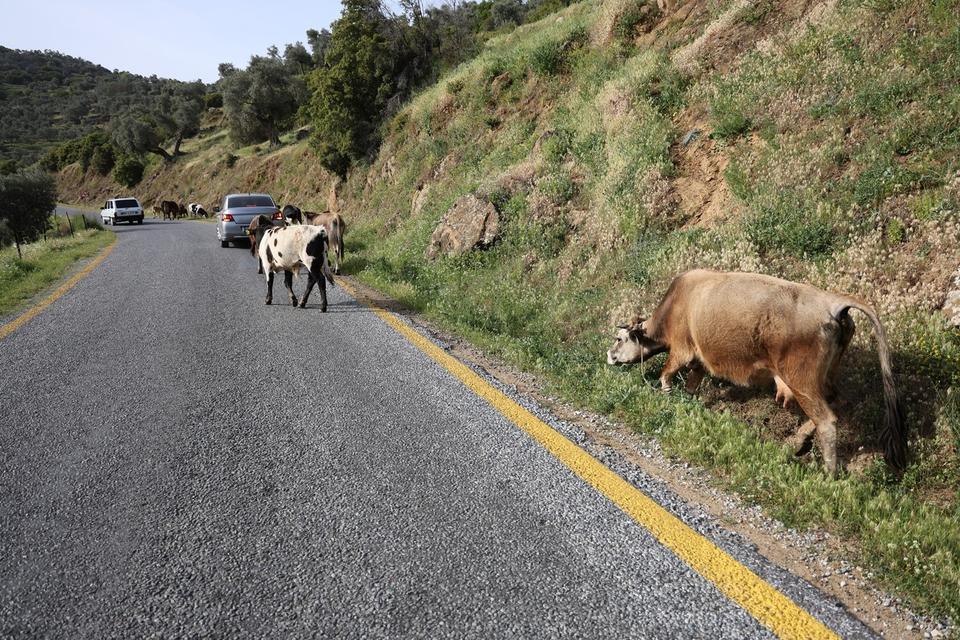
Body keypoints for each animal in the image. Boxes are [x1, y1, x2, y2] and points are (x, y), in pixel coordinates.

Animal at [608, 268, 908, 476]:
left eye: (620, 339)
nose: (609, 356)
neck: (677, 303)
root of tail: (831, 303)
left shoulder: (682, 349)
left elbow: (667, 373)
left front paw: (666, 394)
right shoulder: (700, 360)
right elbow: (692, 384)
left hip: (801, 379)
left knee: (827, 420)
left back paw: (829, 472)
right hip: (827, 373)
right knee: (832, 401)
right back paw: (797, 441)